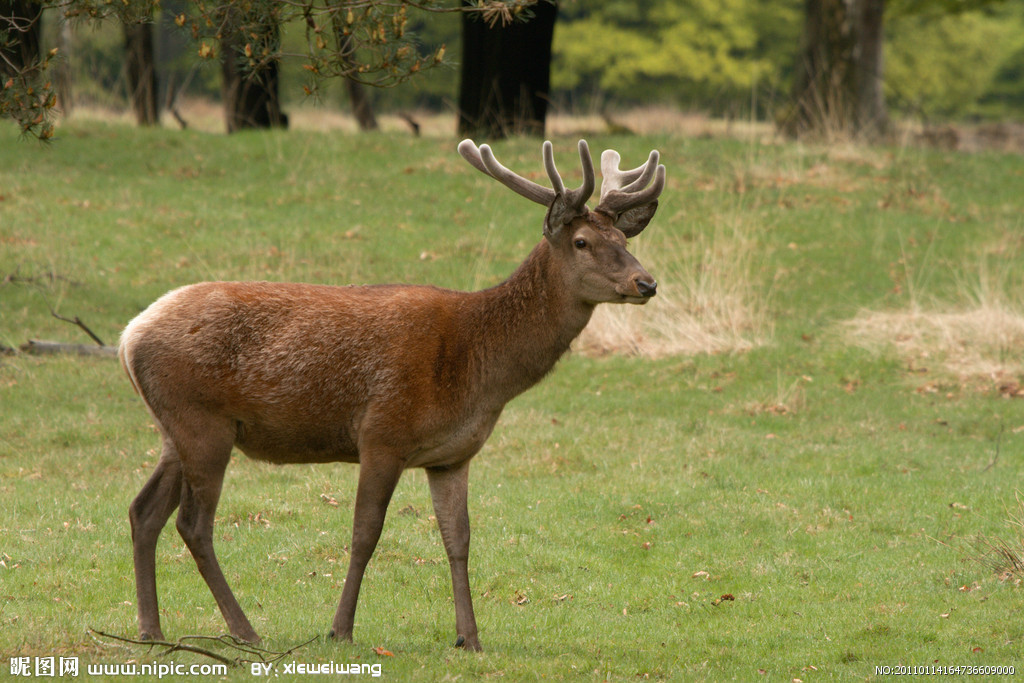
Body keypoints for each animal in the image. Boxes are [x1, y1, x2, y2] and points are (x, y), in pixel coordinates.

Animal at [117, 137, 663, 651]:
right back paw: (244, 630)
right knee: (193, 523)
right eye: (582, 241)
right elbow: (365, 534)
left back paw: (151, 630)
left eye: (623, 238)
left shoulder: (451, 456)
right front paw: (340, 629)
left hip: (174, 429)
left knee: (144, 511)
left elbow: (458, 539)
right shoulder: (382, 433)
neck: (479, 372)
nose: (646, 282)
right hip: (202, 421)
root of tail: (128, 336)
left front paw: (469, 637)